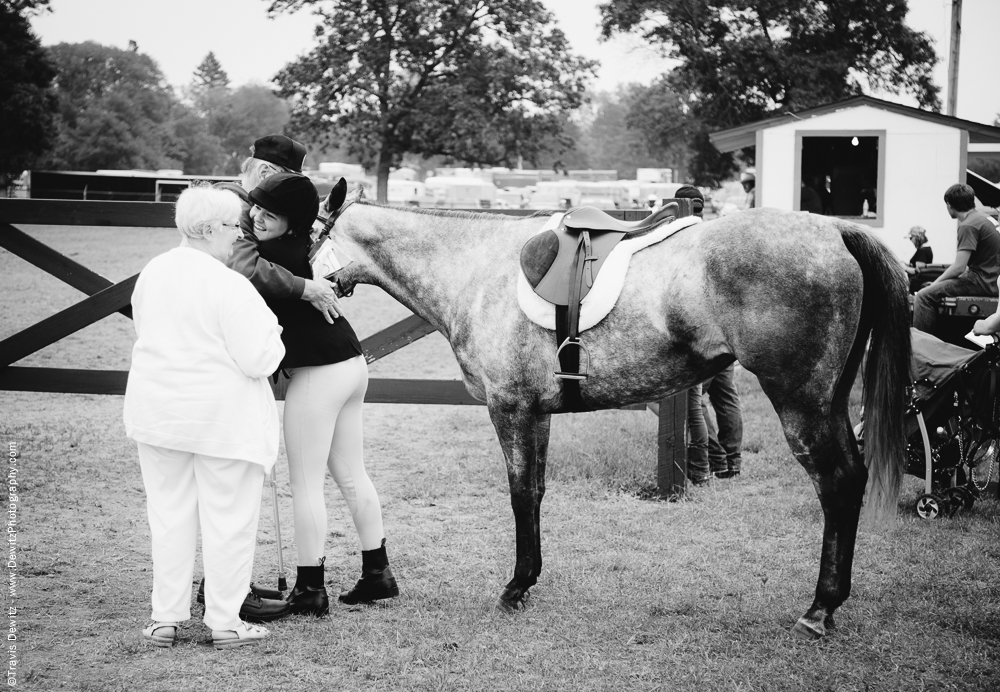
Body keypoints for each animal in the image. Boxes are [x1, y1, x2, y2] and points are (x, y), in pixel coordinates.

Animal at [324, 197, 912, 640]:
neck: (474, 268)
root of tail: (835, 230)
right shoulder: (537, 413)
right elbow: (535, 493)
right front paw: (529, 581)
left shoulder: (509, 409)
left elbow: (519, 494)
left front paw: (515, 587)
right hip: (829, 401)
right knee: (852, 477)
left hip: (801, 403)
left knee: (837, 483)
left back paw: (820, 608)